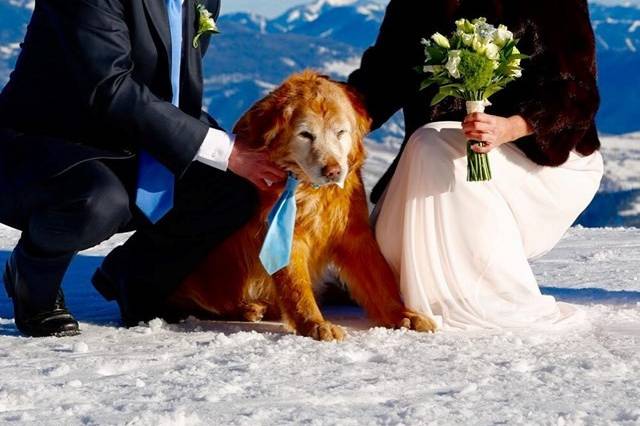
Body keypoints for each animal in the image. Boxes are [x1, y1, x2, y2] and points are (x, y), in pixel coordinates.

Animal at [168, 71, 438, 342]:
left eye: (340, 132)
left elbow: (380, 279)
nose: (333, 171)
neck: (311, 190)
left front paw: (402, 314)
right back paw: (248, 308)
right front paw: (315, 323)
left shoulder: (353, 233)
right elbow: (295, 286)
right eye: (306, 134)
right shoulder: (285, 231)